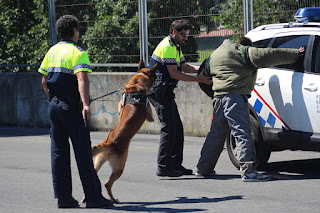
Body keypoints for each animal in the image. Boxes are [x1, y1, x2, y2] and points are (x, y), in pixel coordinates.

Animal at [89, 60, 158, 203]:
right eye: (154, 74)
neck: (136, 83)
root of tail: (109, 143)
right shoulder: (149, 114)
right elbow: (151, 117)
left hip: (98, 163)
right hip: (120, 167)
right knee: (107, 183)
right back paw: (114, 199)